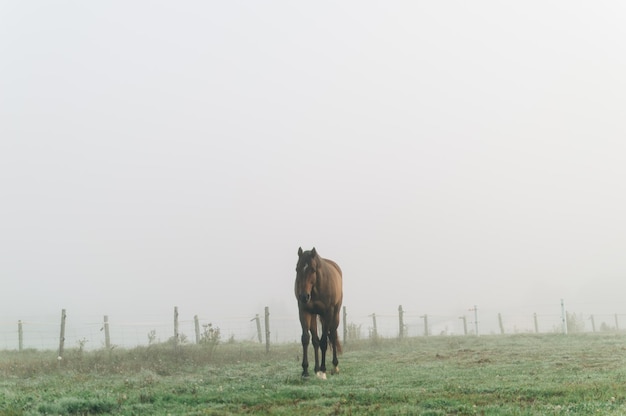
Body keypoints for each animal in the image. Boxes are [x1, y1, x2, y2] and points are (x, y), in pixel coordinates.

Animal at [292, 247, 342, 380]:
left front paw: (323, 369)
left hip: (335, 314)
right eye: (297, 269)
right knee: (315, 340)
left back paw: (334, 366)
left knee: (332, 335)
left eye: (312, 269)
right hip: (314, 316)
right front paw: (305, 371)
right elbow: (306, 338)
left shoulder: (328, 312)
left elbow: (324, 341)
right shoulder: (304, 311)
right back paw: (316, 368)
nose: (304, 296)